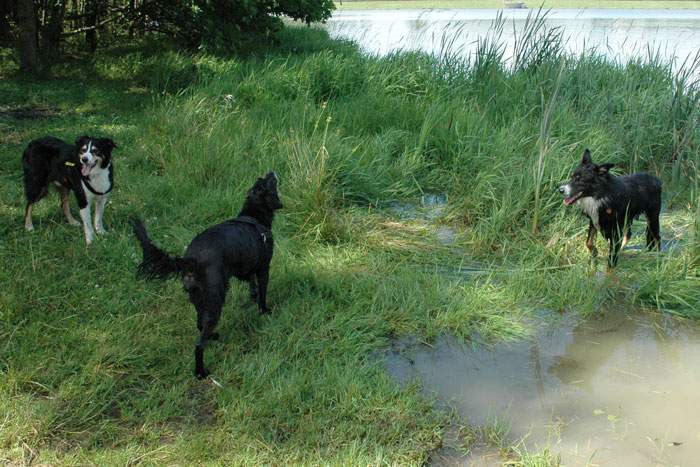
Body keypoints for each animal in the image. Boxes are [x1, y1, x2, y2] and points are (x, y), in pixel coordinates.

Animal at [133, 172, 284, 380]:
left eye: (260, 180)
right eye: (268, 183)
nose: (271, 172)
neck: (253, 215)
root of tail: (192, 260)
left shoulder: (243, 269)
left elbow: (251, 283)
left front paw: (252, 296)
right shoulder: (264, 267)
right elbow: (262, 291)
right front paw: (264, 310)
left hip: (199, 299)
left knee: (199, 325)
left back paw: (212, 337)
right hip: (215, 301)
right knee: (198, 344)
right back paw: (200, 372)